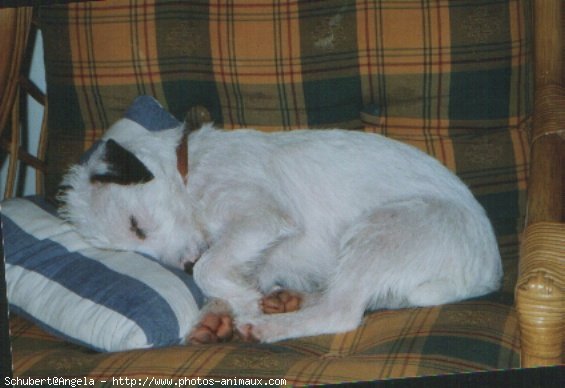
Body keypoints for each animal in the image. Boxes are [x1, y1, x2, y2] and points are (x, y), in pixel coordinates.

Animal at [57, 114, 500, 342]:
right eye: (133, 246)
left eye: (137, 225)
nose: (183, 266)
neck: (190, 170)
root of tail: (488, 274)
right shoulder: (250, 250)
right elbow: (225, 273)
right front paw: (221, 309)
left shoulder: (259, 217)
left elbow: (210, 270)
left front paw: (243, 303)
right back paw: (291, 300)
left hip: (383, 230)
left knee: (341, 312)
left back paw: (267, 326)